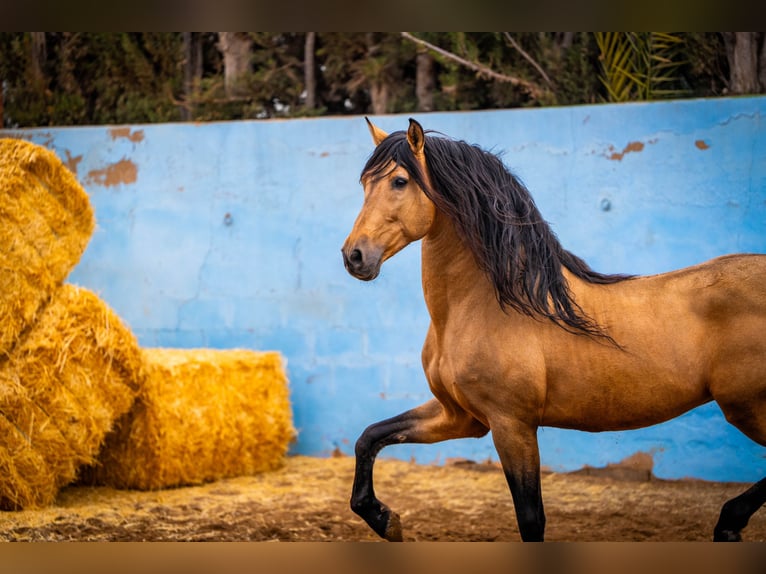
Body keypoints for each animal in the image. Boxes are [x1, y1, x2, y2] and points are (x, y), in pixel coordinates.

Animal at [340, 117, 766, 542]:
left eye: (399, 181)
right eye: (364, 185)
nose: (354, 256)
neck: (484, 305)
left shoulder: (512, 425)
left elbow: (531, 518)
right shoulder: (460, 416)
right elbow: (369, 438)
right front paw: (385, 519)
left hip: (748, 408)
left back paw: (729, 522)